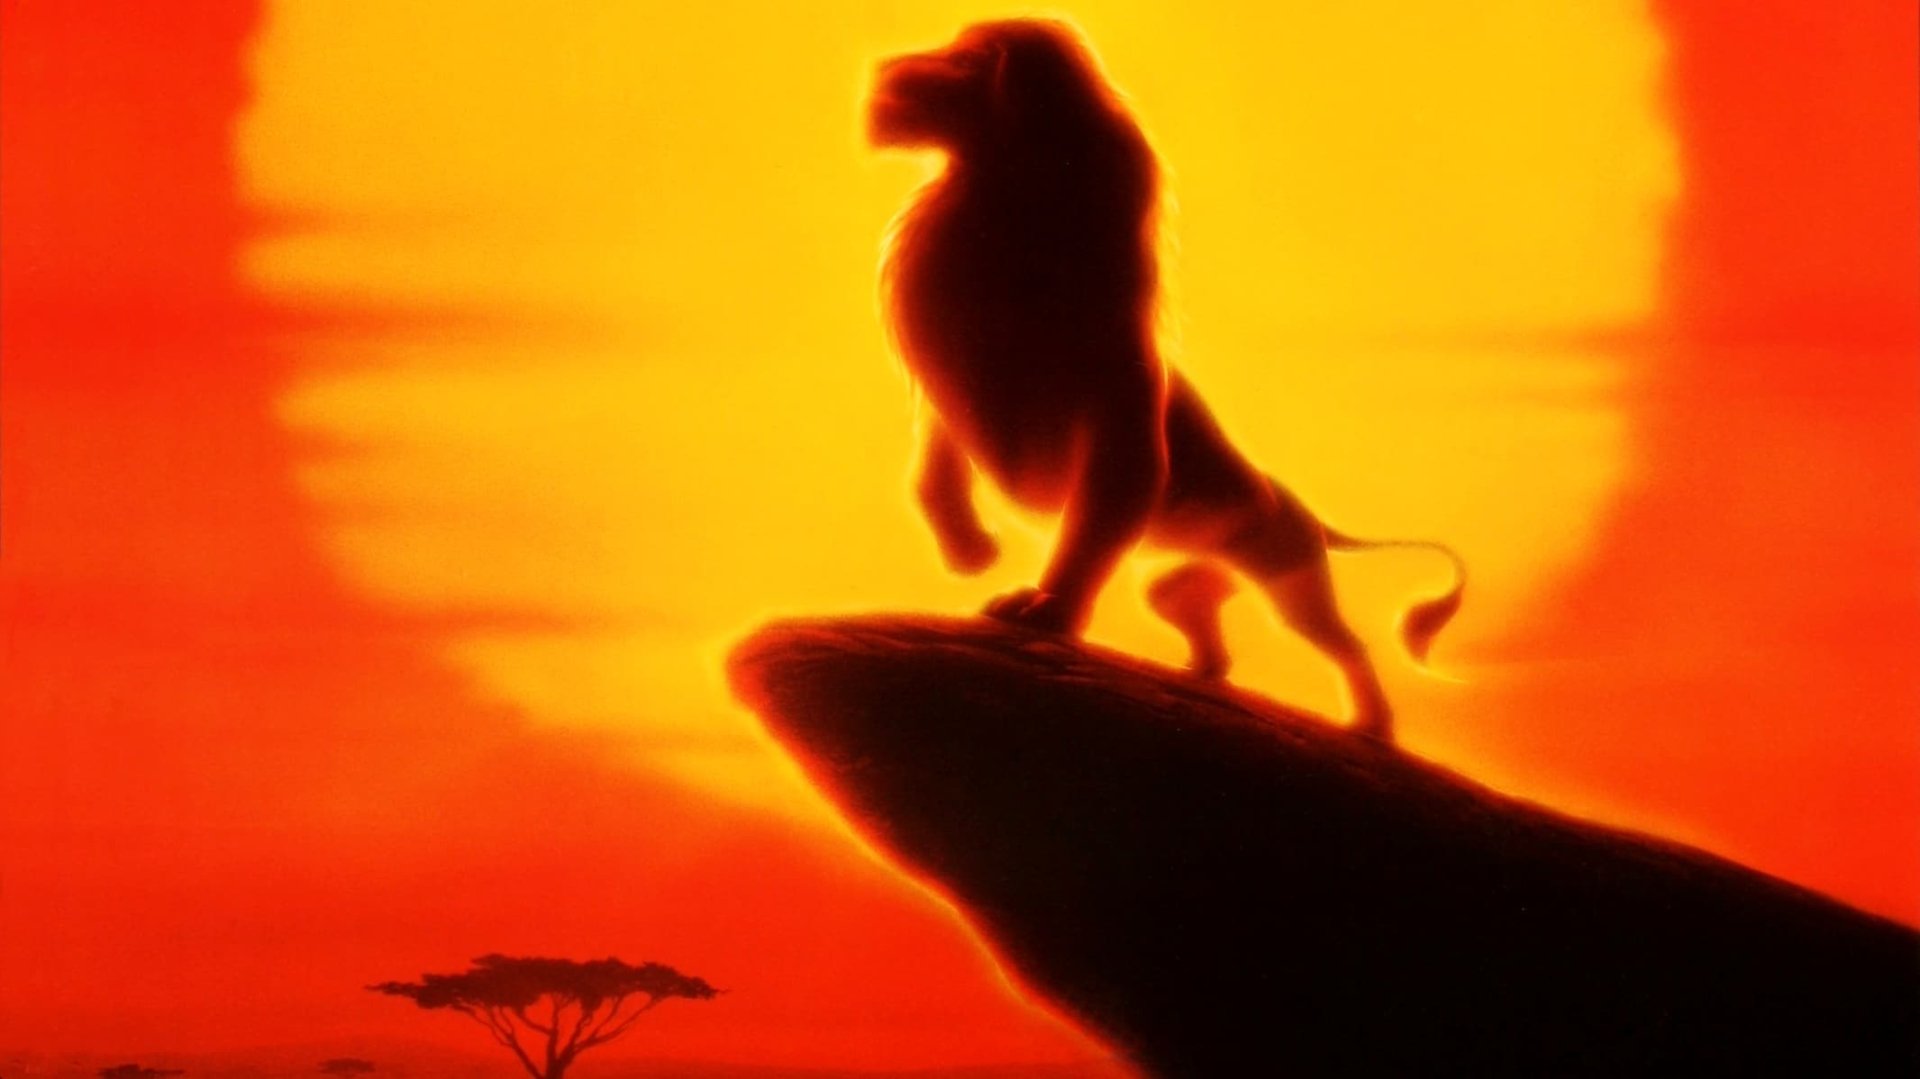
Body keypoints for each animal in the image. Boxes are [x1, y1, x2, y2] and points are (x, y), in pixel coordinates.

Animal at [868, 19, 1463, 741]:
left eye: (968, 61)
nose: (882, 74)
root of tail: (1309, 514)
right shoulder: (956, 389)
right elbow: (933, 475)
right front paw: (970, 552)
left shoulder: (1118, 443)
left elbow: (1087, 537)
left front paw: (1045, 613)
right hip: (1185, 580)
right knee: (1192, 607)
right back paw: (1201, 673)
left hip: (1292, 583)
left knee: (1345, 643)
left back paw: (1371, 724)